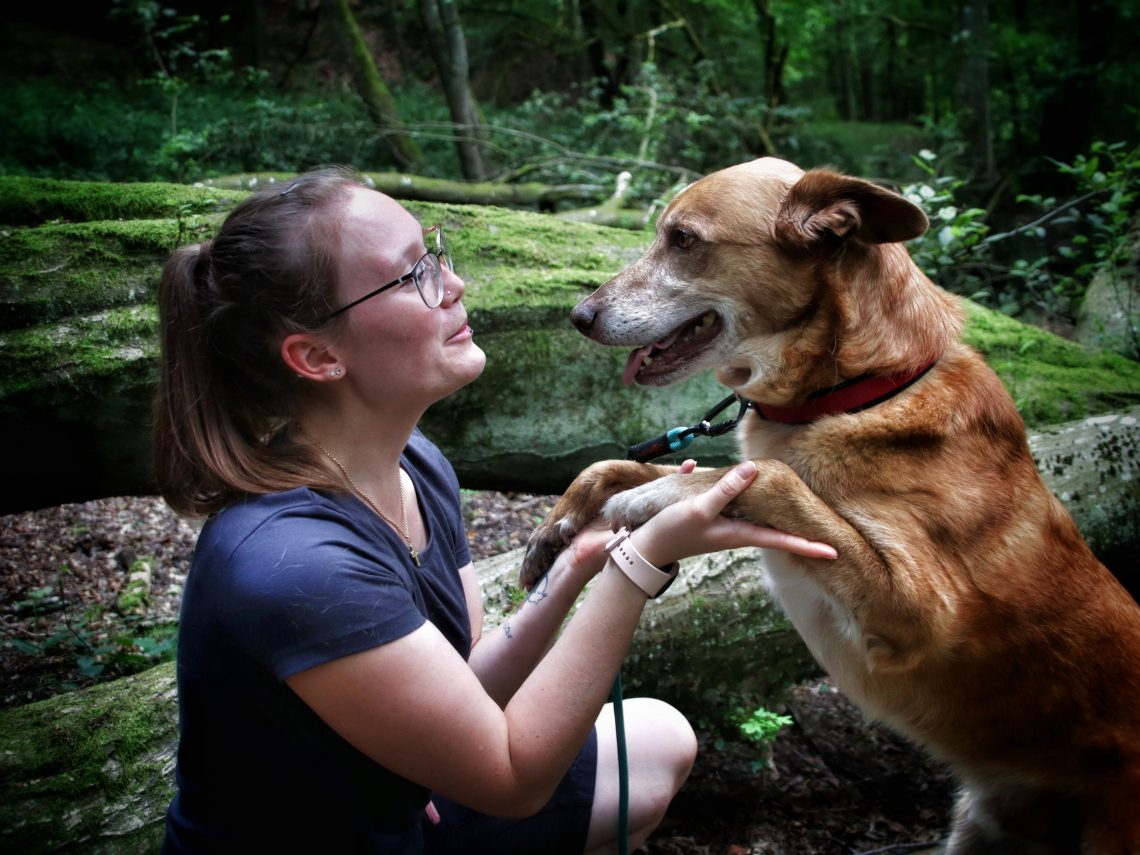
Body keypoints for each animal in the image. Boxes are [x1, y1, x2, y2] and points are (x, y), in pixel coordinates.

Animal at [522, 159, 1140, 852]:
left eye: (682, 239)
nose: (578, 315)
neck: (861, 391)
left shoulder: (923, 610)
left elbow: (767, 475)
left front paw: (657, 496)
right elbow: (610, 466)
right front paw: (555, 531)